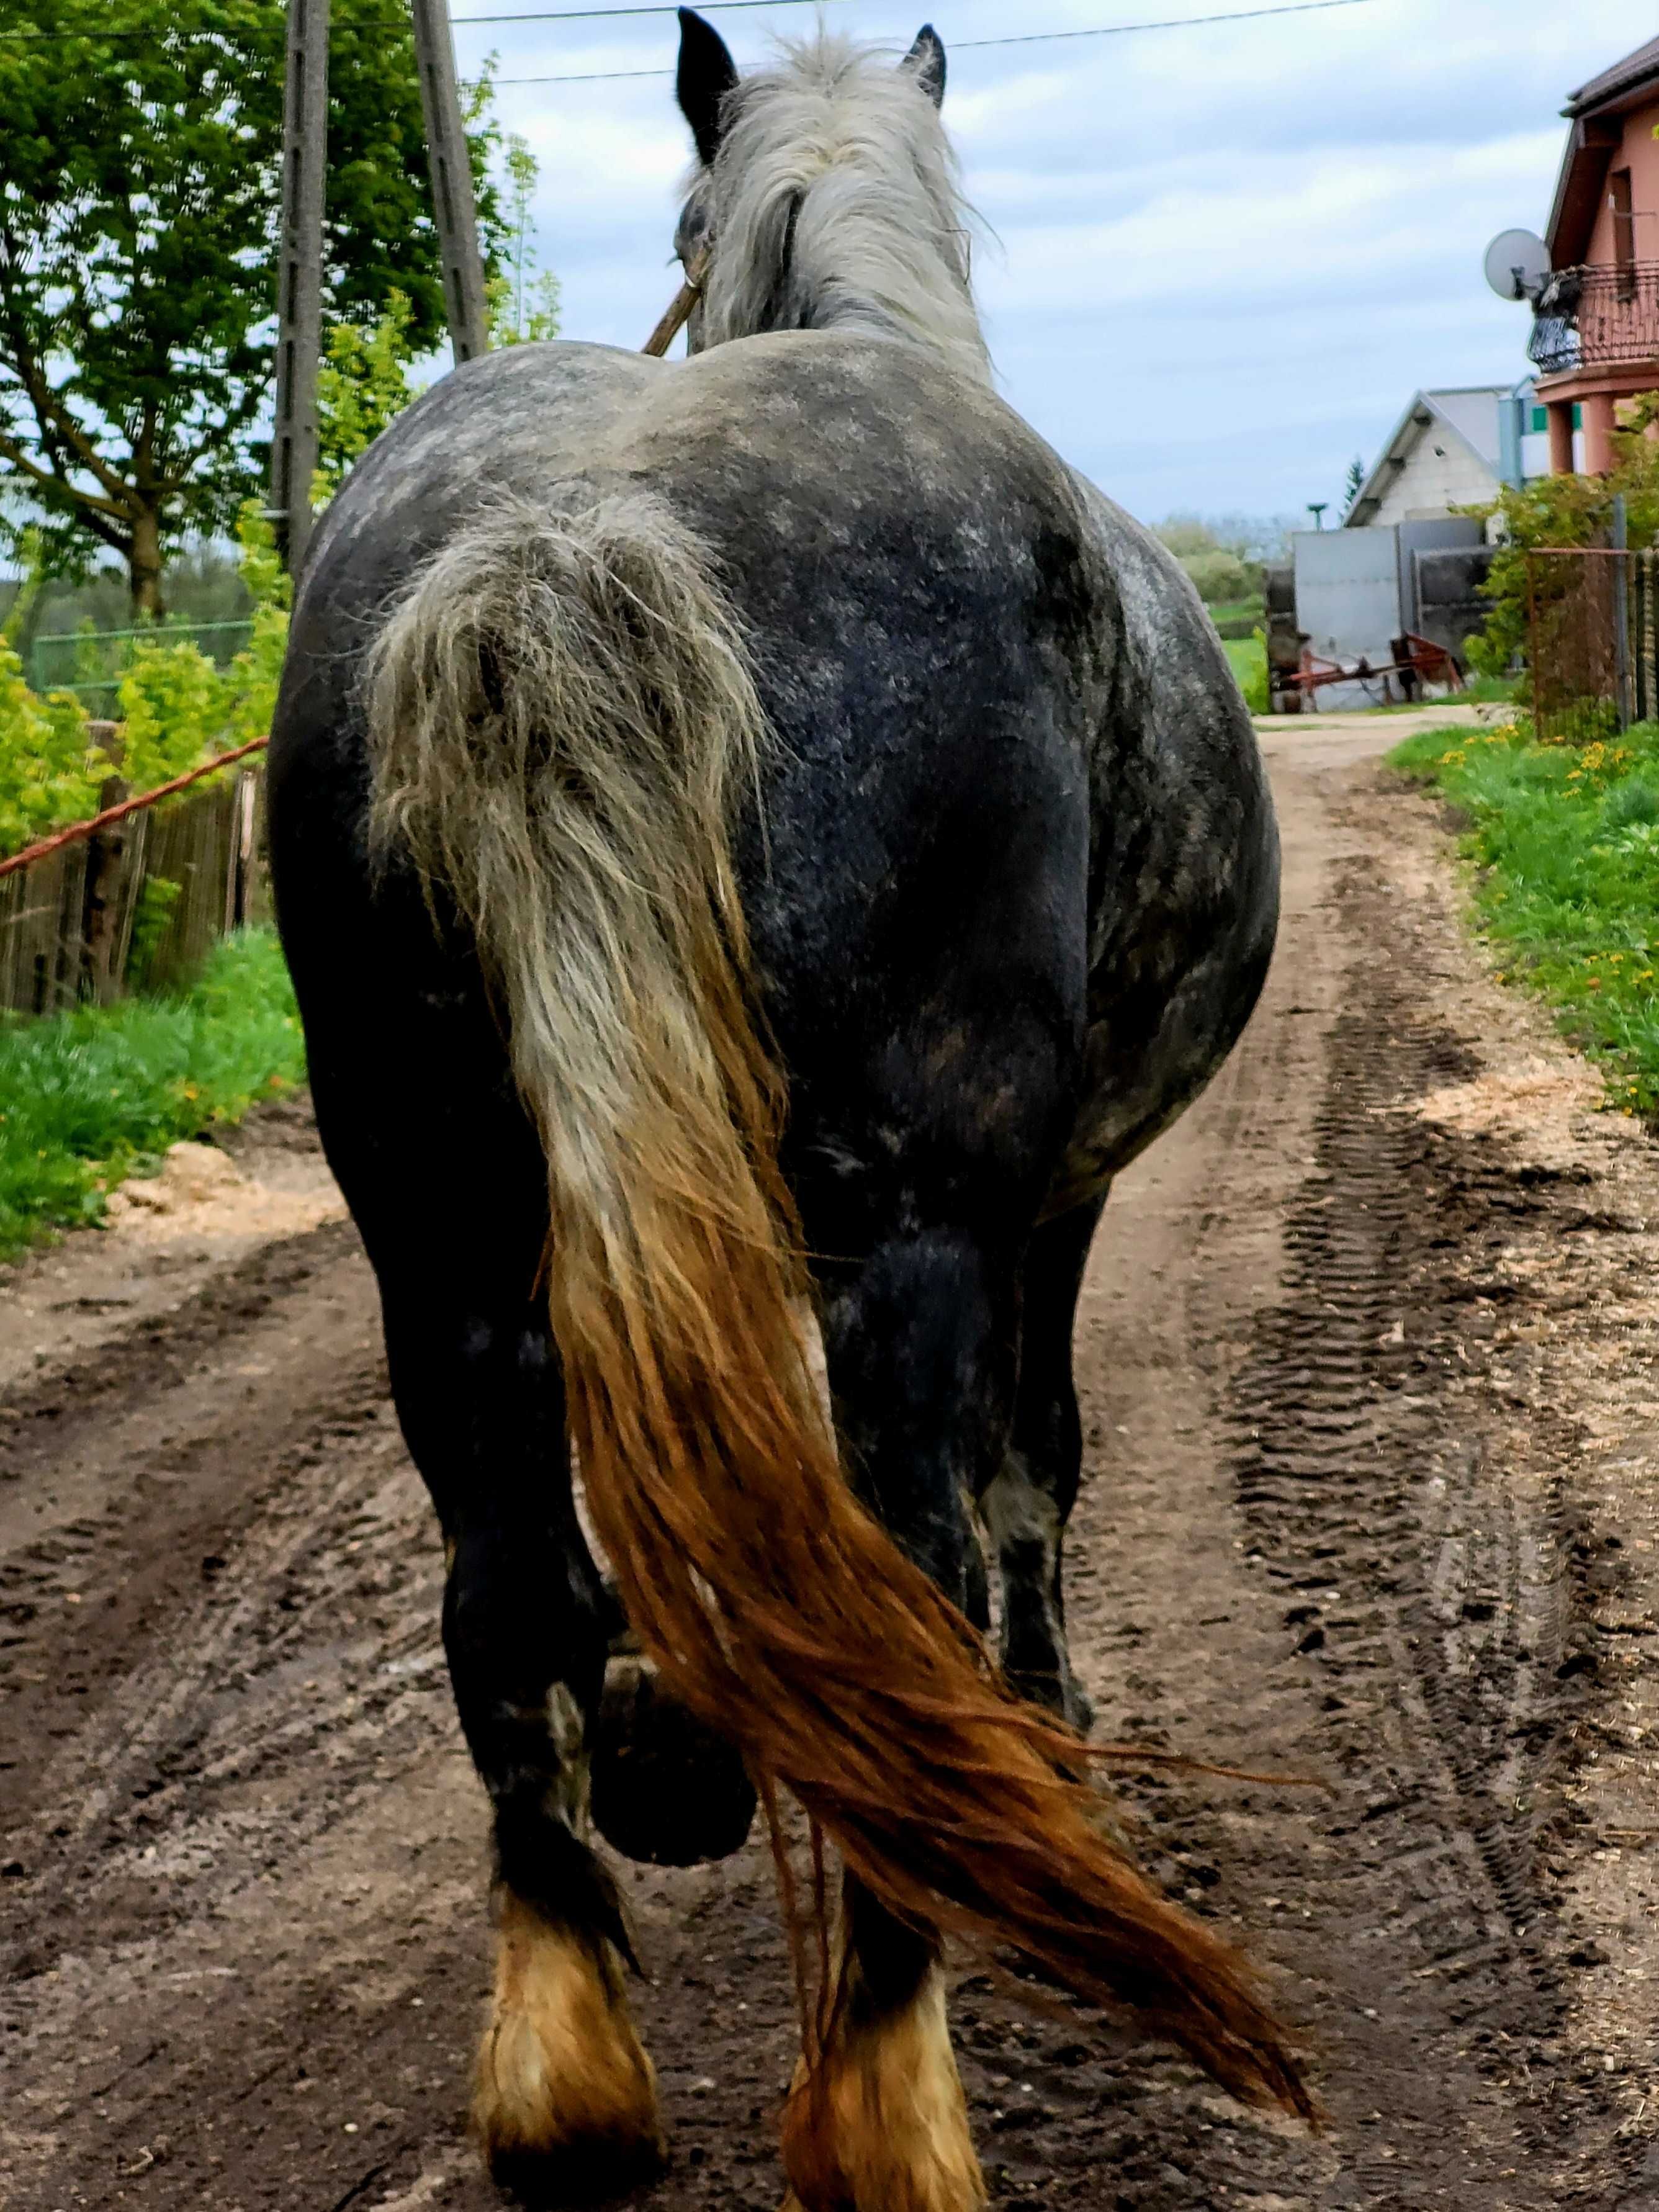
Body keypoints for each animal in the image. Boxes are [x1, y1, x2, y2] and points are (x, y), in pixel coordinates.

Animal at [273, 12, 1309, 2194]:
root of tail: (579, 536)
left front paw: (672, 1744)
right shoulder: (1038, 1209)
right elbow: (1036, 1471)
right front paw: (1050, 1735)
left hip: (436, 1228)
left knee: (507, 1595)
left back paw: (570, 2081)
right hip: (916, 1225)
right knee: (913, 1567)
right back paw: (892, 2101)